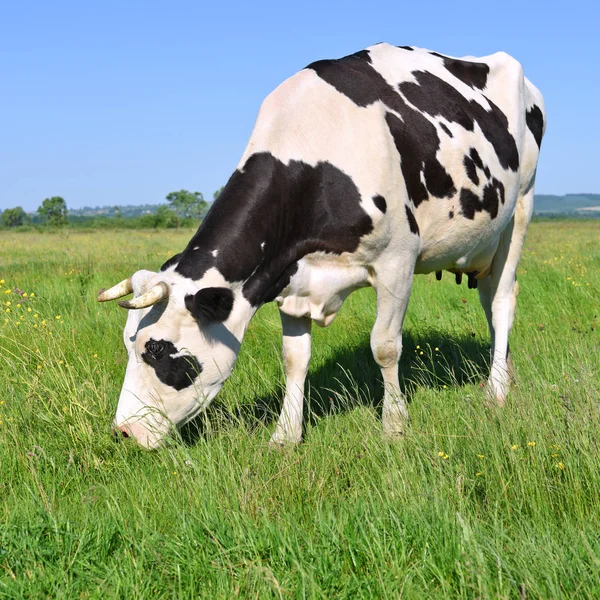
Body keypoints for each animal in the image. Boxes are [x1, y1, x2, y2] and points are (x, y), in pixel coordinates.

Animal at [97, 44, 544, 448]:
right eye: (127, 342)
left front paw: (394, 427)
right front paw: (285, 436)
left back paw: (496, 392)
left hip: (519, 209)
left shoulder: (397, 261)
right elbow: (294, 358)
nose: (124, 431)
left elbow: (385, 347)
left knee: (502, 300)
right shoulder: (287, 273)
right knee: (488, 300)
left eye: (157, 351)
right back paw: (504, 372)